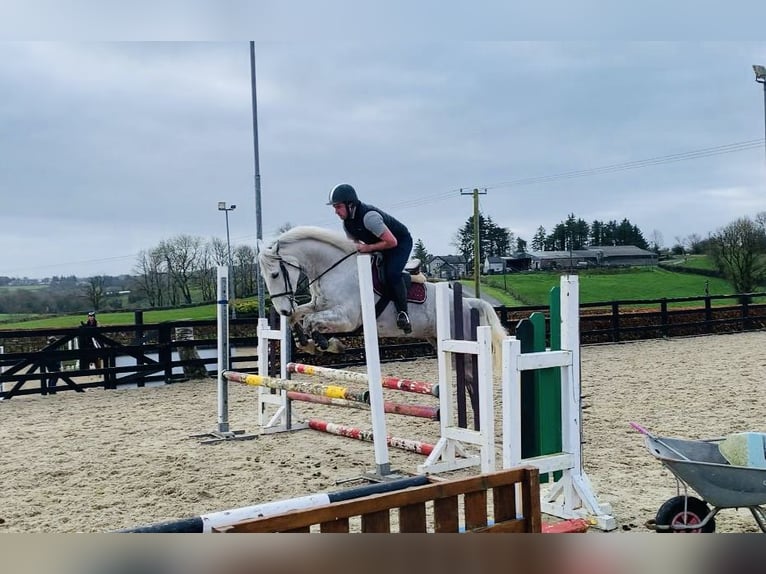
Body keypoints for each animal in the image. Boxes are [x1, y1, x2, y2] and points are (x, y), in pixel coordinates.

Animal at [260, 225, 510, 368]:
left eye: (275, 274)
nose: (283, 309)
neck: (334, 268)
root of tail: (469, 302)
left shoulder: (347, 318)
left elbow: (312, 321)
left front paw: (326, 344)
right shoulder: (319, 304)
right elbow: (301, 315)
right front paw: (306, 342)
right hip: (435, 337)